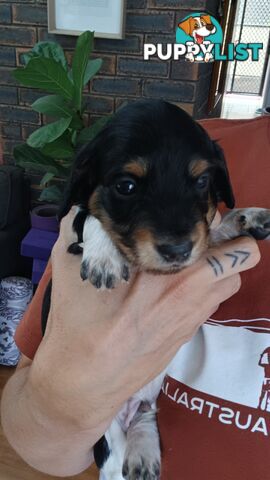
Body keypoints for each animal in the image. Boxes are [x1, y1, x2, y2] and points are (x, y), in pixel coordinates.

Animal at [43, 99, 268, 478]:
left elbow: (207, 233)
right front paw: (104, 258)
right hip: (103, 432)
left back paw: (144, 455)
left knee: (144, 415)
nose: (177, 251)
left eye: (202, 180)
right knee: (115, 451)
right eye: (126, 186)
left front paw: (243, 218)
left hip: (144, 405)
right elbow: (90, 216)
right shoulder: (75, 233)